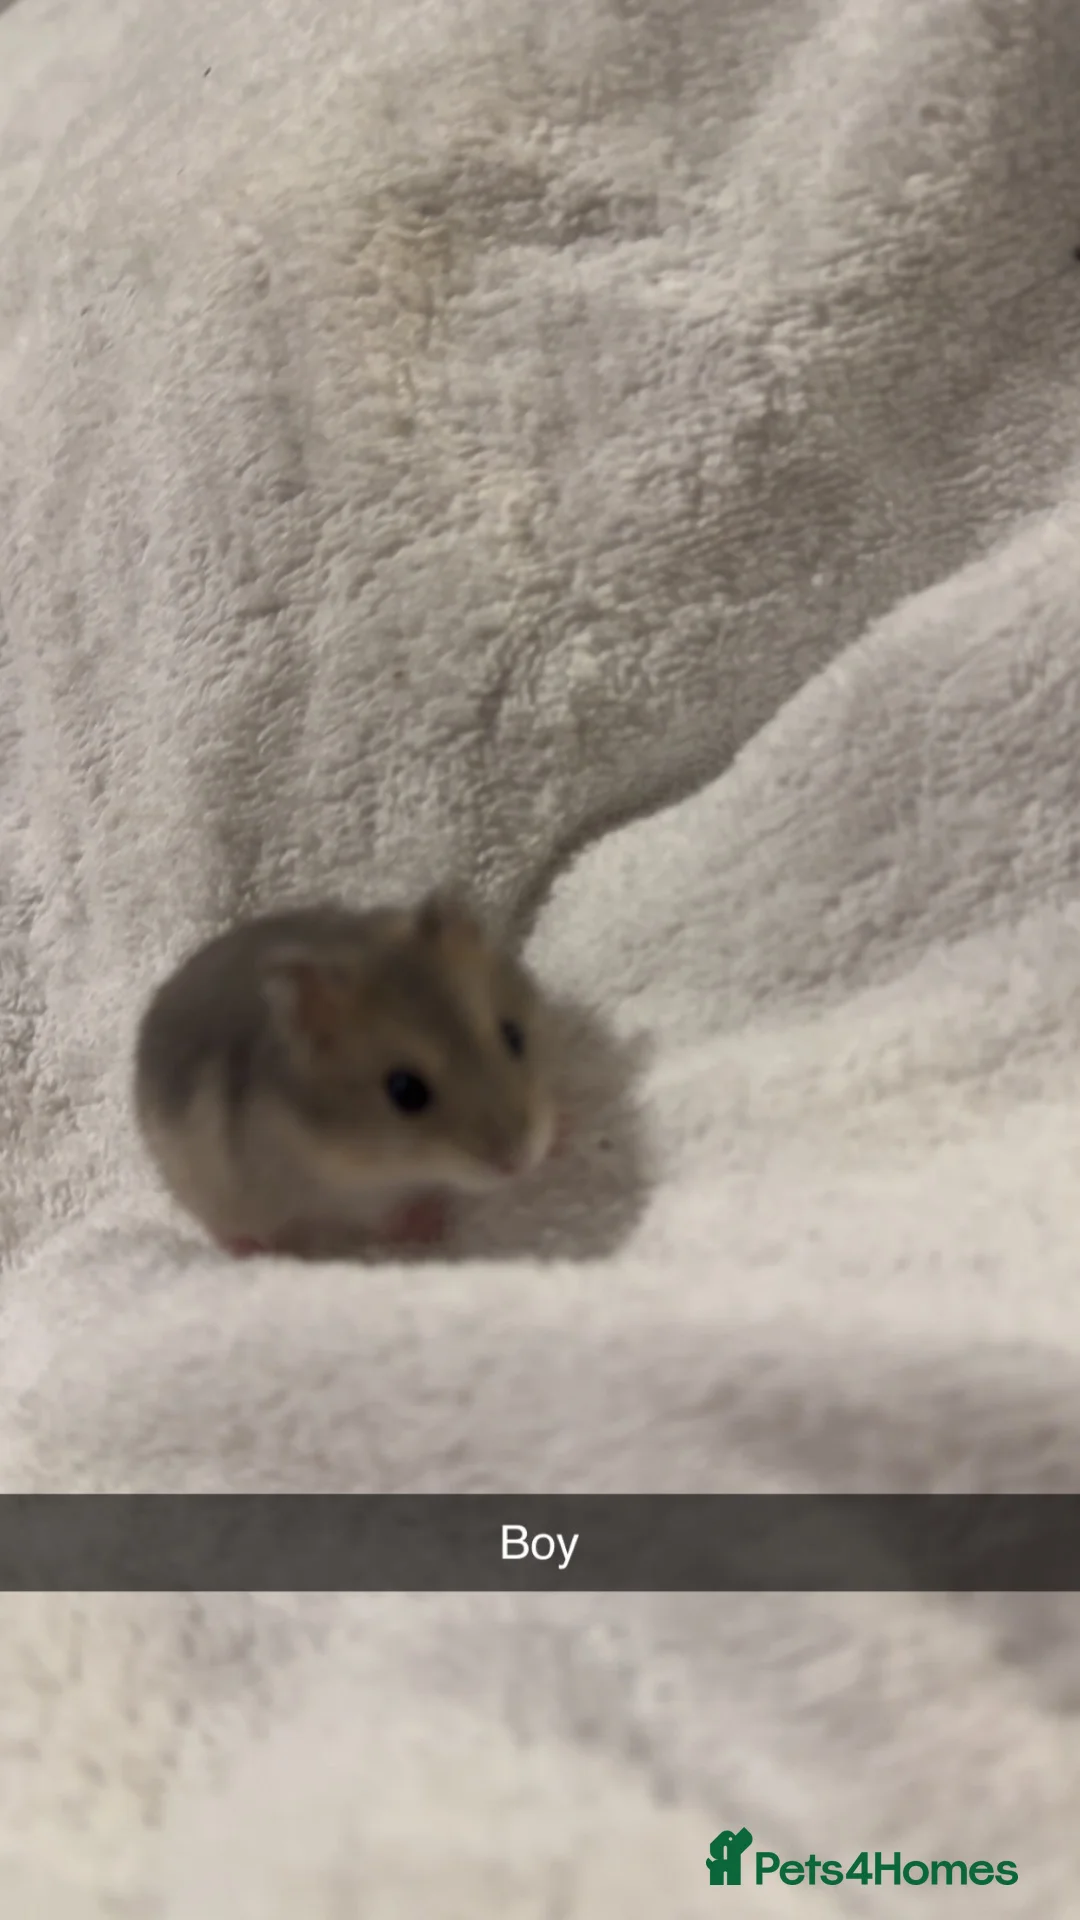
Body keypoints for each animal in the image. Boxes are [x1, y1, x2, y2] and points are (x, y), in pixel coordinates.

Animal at [134, 892, 558, 1257]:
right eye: (405, 1090)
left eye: (514, 1036)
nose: (517, 1164)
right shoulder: (350, 1196)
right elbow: (386, 1215)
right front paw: (430, 1228)